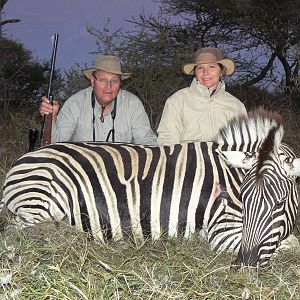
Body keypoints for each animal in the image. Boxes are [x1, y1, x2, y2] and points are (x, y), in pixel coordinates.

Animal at [0, 108, 300, 264]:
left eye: (279, 203)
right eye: (244, 199)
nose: (245, 264)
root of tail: (21, 160)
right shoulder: (222, 232)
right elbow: (291, 244)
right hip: (40, 206)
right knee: (17, 233)